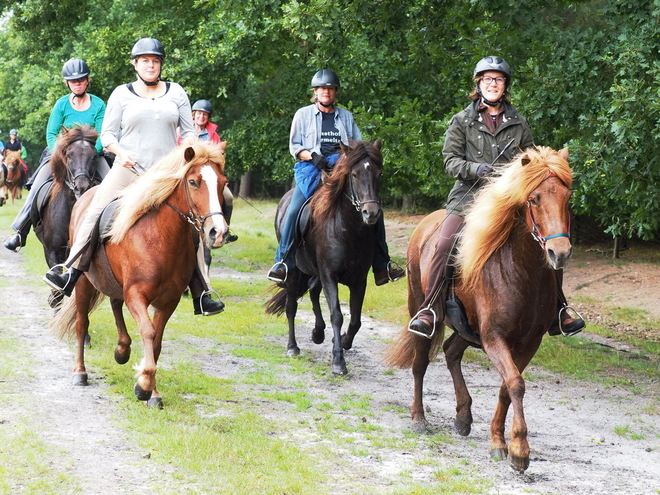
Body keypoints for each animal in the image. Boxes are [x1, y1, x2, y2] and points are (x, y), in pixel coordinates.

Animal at [50, 140, 229, 406]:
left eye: (223, 182)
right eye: (193, 181)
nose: (218, 232)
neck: (160, 238)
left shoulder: (169, 301)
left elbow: (156, 341)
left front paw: (152, 392)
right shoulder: (136, 295)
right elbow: (148, 331)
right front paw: (144, 385)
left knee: (115, 304)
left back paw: (122, 350)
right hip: (83, 283)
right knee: (82, 323)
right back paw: (80, 372)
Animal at [266, 140, 384, 376]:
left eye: (378, 173)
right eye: (354, 174)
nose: (371, 213)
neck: (348, 229)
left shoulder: (359, 279)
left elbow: (356, 320)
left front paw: (344, 342)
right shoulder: (329, 274)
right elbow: (337, 315)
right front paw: (338, 362)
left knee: (312, 290)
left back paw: (318, 333)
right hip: (294, 271)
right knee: (291, 306)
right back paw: (293, 347)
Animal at [386, 146, 572, 472]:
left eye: (567, 197)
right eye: (534, 199)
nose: (559, 253)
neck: (521, 271)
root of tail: (426, 223)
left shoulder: (528, 342)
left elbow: (507, 386)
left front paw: (500, 440)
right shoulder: (494, 338)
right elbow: (515, 383)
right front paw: (519, 449)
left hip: (467, 328)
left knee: (451, 351)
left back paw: (463, 417)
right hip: (419, 309)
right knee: (420, 363)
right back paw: (419, 418)